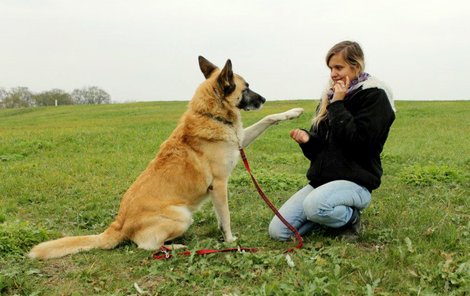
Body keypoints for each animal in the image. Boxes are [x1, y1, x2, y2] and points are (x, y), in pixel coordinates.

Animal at [27, 56, 302, 260]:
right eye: (246, 88)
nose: (264, 99)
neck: (211, 115)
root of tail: (118, 225)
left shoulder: (239, 142)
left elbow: (267, 119)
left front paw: (293, 112)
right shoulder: (219, 184)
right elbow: (226, 217)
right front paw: (231, 241)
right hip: (182, 215)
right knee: (144, 246)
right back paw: (176, 248)